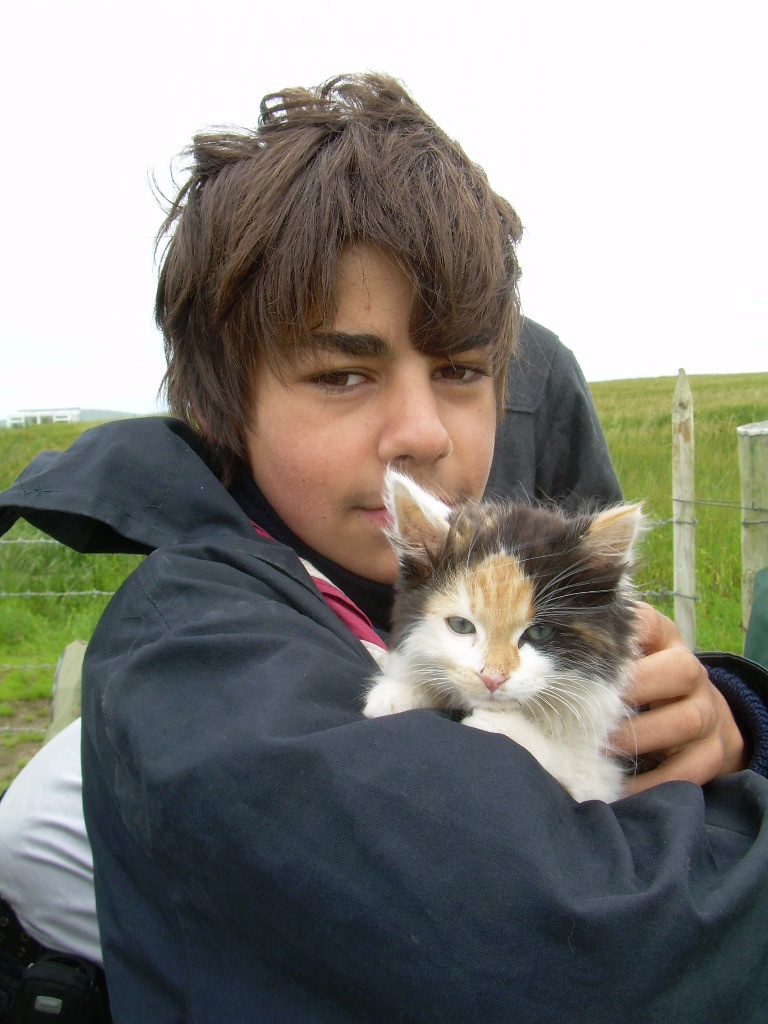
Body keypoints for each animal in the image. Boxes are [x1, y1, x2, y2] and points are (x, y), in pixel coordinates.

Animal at [363, 469, 644, 802]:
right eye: (461, 626)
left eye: (539, 632)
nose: (493, 678)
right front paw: (398, 691)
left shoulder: (601, 774)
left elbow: (567, 760)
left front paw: (499, 725)